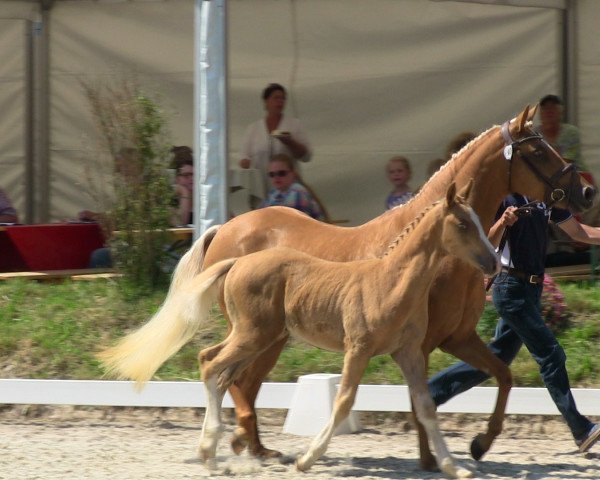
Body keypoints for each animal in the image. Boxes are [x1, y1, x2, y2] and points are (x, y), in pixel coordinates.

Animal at [101, 182, 500, 478]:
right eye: (463, 225)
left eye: (480, 221)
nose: (494, 262)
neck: (391, 282)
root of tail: (237, 261)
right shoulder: (358, 348)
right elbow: (343, 402)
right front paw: (306, 459)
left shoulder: (409, 352)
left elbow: (426, 406)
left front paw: (454, 467)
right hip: (254, 335)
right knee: (212, 365)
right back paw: (212, 453)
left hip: (253, 336)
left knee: (214, 364)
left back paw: (220, 450)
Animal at [163, 104, 596, 468]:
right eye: (537, 150)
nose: (587, 192)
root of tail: (223, 230)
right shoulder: (423, 342)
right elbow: (423, 400)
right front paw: (432, 459)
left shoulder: (456, 337)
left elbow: (500, 377)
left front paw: (477, 445)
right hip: (261, 332)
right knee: (231, 376)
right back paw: (236, 442)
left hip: (271, 335)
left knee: (241, 380)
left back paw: (252, 446)